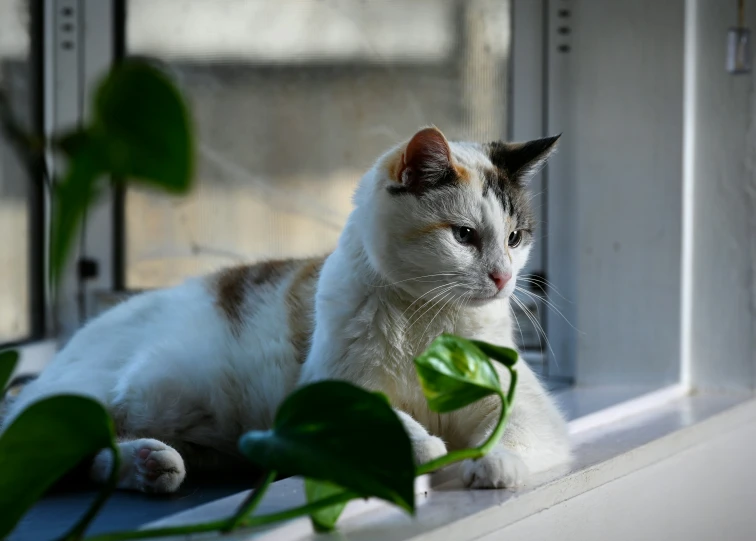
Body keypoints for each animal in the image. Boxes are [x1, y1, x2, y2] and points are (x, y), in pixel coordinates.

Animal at [0, 126, 568, 494]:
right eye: (464, 236)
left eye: (516, 238)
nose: (504, 277)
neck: (427, 319)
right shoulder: (325, 391)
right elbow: (387, 420)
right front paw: (428, 450)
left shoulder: (517, 397)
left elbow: (517, 430)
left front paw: (494, 464)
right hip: (81, 402)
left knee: (96, 456)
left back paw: (151, 464)